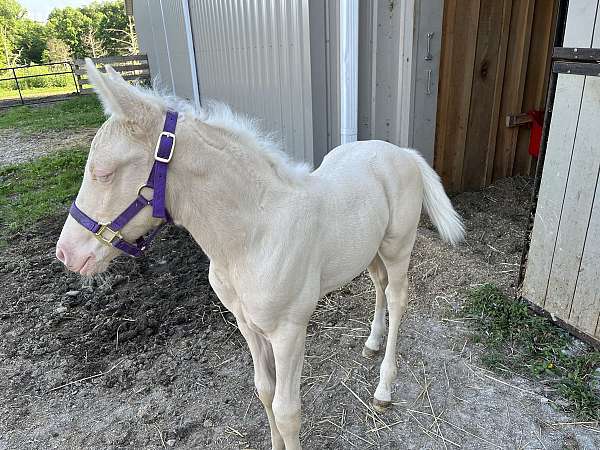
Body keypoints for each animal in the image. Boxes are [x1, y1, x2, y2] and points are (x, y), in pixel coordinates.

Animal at [56, 60, 464, 450]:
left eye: (104, 172)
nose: (66, 253)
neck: (254, 236)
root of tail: (402, 153)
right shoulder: (247, 324)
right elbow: (264, 390)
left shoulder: (289, 332)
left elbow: (287, 410)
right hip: (370, 249)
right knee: (379, 286)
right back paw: (371, 342)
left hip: (397, 248)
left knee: (396, 298)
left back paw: (383, 388)